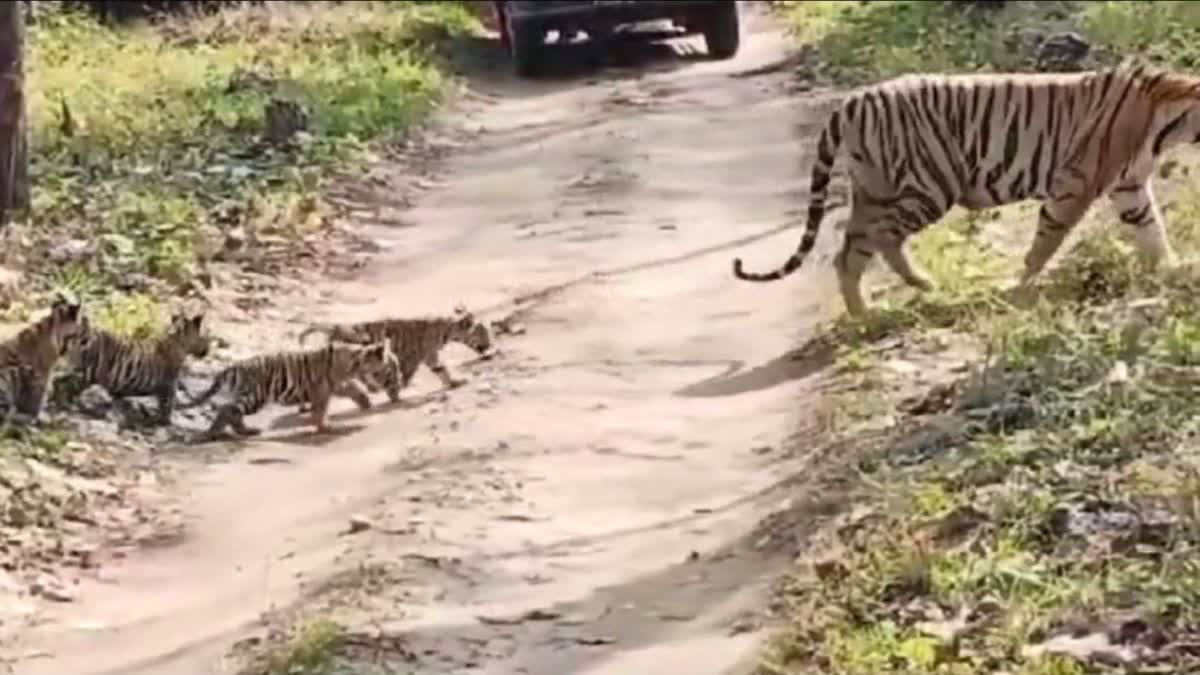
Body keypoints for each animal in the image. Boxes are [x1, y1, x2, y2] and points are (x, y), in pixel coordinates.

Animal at [734, 57, 1195, 314]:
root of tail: (853, 100)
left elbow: (1152, 229)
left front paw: (1173, 267)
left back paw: (869, 312)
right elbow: (1046, 240)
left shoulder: (1129, 187)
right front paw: (1020, 287)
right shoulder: (1076, 184)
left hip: (873, 190)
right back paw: (907, 293)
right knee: (880, 239)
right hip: (930, 186)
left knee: (849, 251)